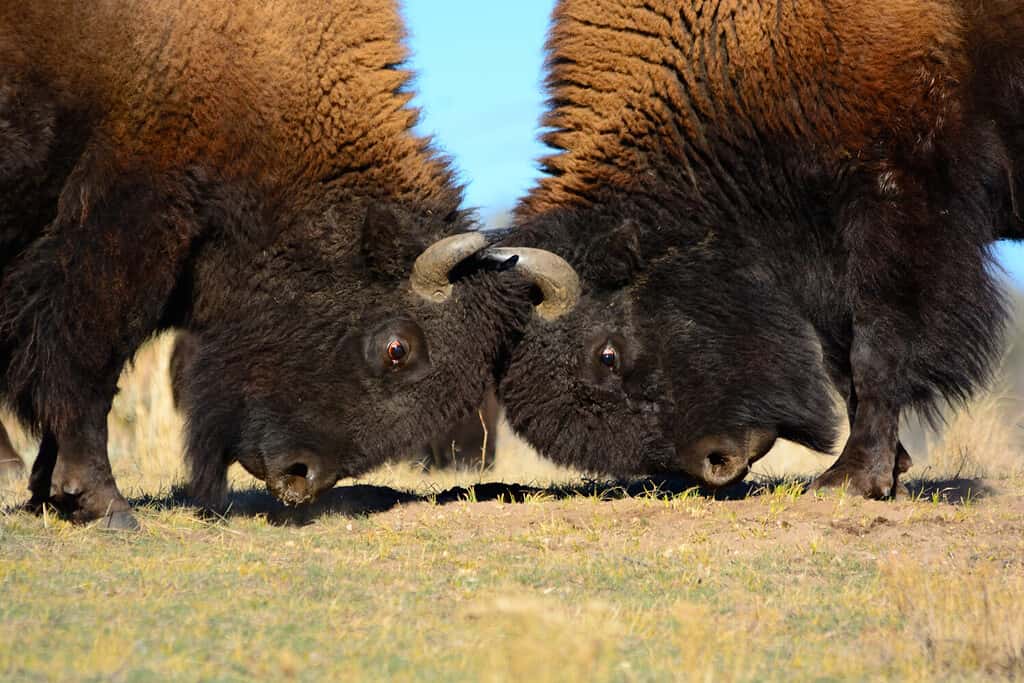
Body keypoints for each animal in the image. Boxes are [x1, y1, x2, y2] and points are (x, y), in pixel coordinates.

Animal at [0, 0, 548, 528]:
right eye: (398, 349)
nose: (300, 475)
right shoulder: (125, 227)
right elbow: (89, 355)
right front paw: (105, 504)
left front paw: (50, 494)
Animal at [489, 0, 1024, 497]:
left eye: (607, 356)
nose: (717, 461)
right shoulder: (815, 255)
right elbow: (839, 359)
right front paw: (886, 467)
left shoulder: (896, 200)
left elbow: (876, 347)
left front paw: (851, 479)